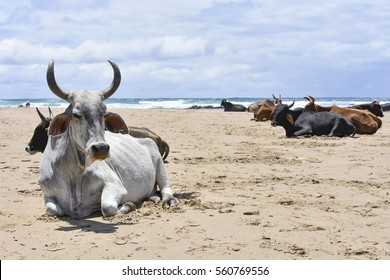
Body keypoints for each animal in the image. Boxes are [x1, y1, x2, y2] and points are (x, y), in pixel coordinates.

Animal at [38, 58, 177, 217]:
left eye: (104, 114)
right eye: (76, 114)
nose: (101, 148)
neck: (74, 177)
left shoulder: (114, 184)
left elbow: (107, 208)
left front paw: (129, 205)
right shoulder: (48, 195)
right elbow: (52, 209)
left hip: (160, 164)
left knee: (166, 187)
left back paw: (168, 200)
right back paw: (153, 198)